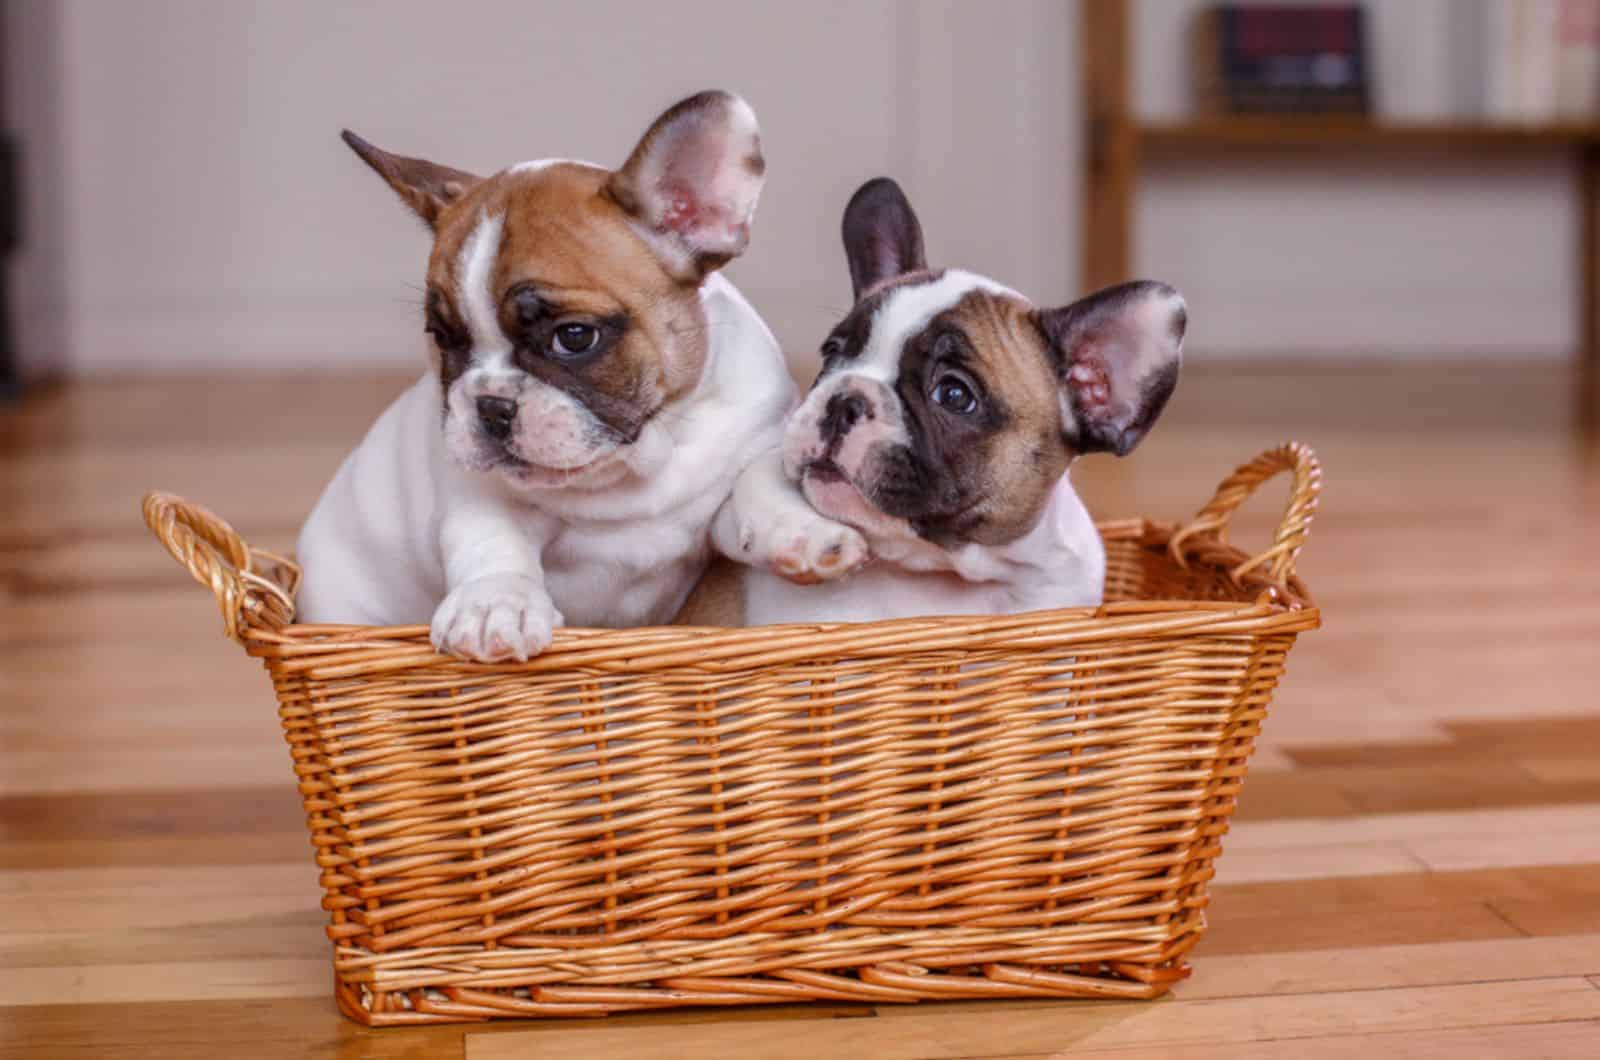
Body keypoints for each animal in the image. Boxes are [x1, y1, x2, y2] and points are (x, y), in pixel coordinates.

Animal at [300, 91, 876, 659]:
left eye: (574, 337)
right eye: (443, 339)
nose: (490, 404)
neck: (635, 468)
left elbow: (756, 480)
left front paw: (802, 531)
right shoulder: (479, 496)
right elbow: (491, 540)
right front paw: (496, 604)